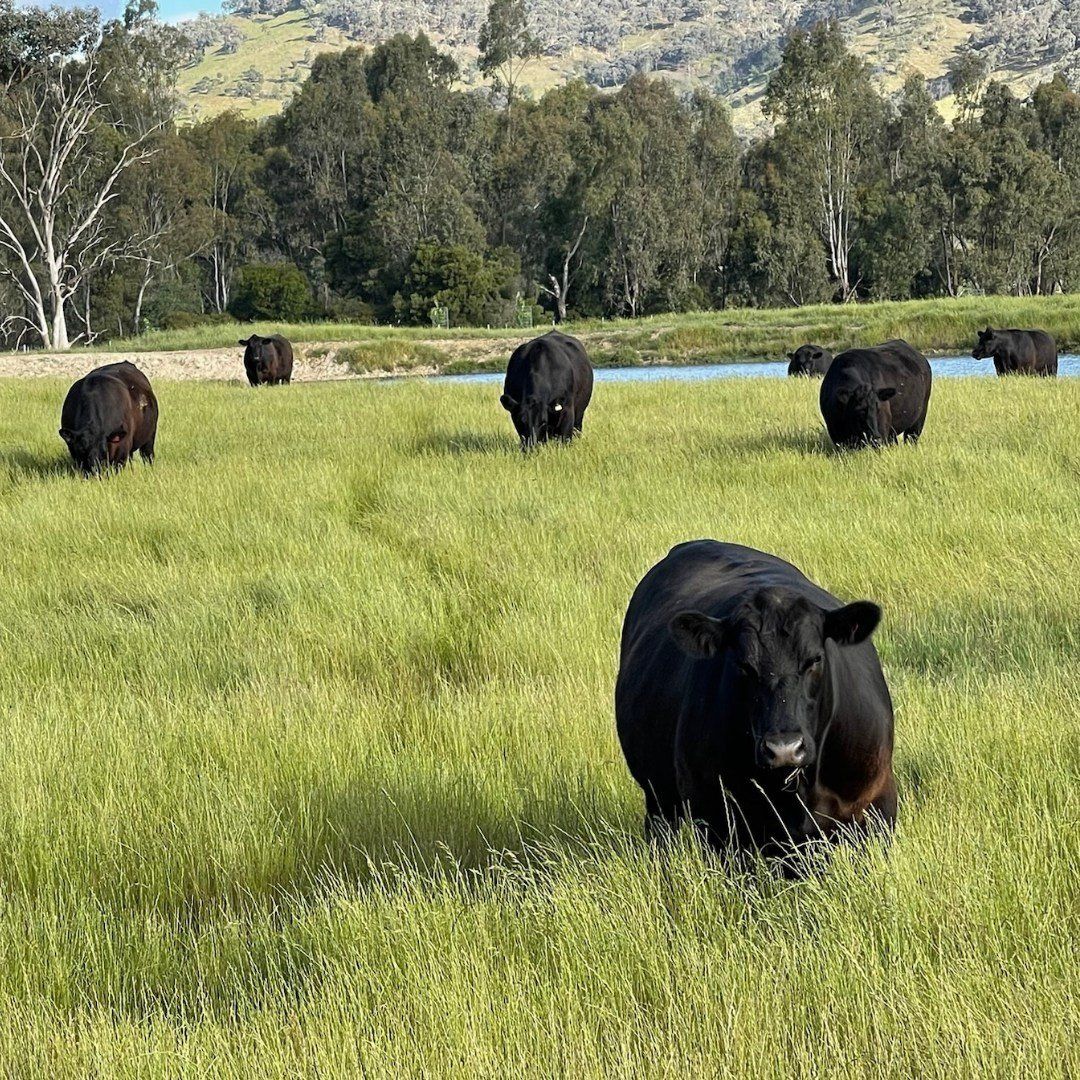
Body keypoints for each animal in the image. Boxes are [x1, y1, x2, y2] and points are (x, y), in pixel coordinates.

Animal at [615, 541, 897, 871]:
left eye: (815, 659)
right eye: (743, 665)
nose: (785, 748)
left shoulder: (877, 806)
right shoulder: (717, 820)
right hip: (659, 798)